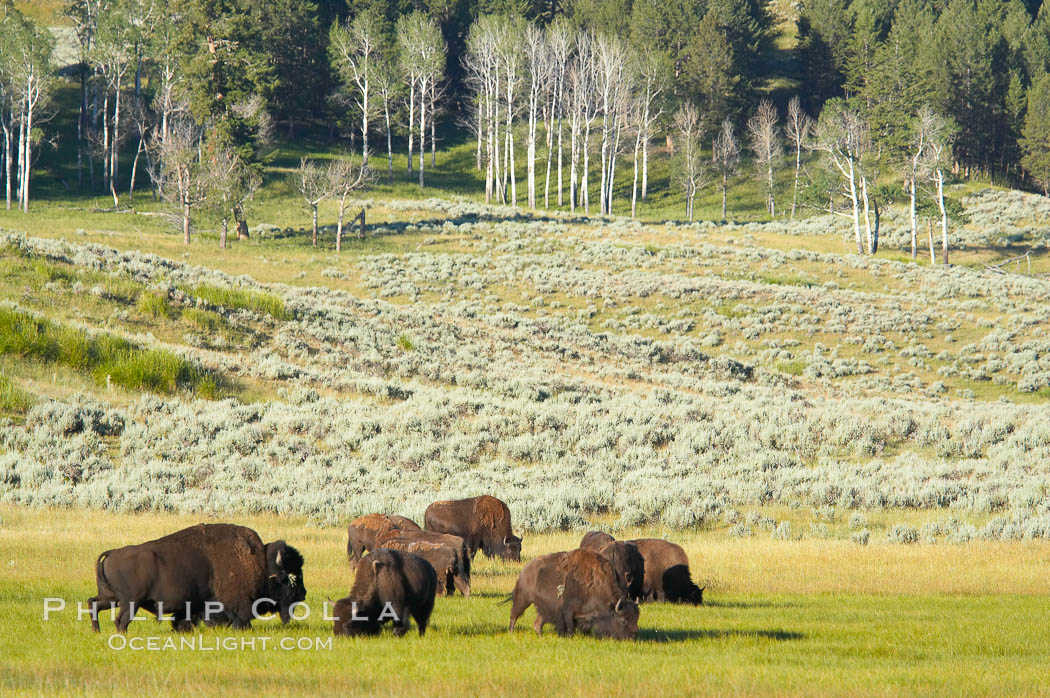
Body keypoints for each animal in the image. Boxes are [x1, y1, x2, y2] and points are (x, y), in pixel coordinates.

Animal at [88, 522, 306, 629]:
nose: (303, 594)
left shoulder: (194, 605)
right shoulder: (236, 605)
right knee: (121, 620)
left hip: (112, 598)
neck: (260, 563)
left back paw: (97, 631)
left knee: (93, 603)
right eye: (291, 578)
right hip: (130, 602)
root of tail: (112, 553)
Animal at [503, 545, 634, 638]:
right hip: (523, 600)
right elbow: (570, 625)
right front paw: (570, 636)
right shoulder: (568, 610)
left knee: (537, 624)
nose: (632, 637)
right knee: (514, 615)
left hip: (543, 609)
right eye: (623, 620)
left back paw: (540, 636)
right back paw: (511, 632)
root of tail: (524, 570)